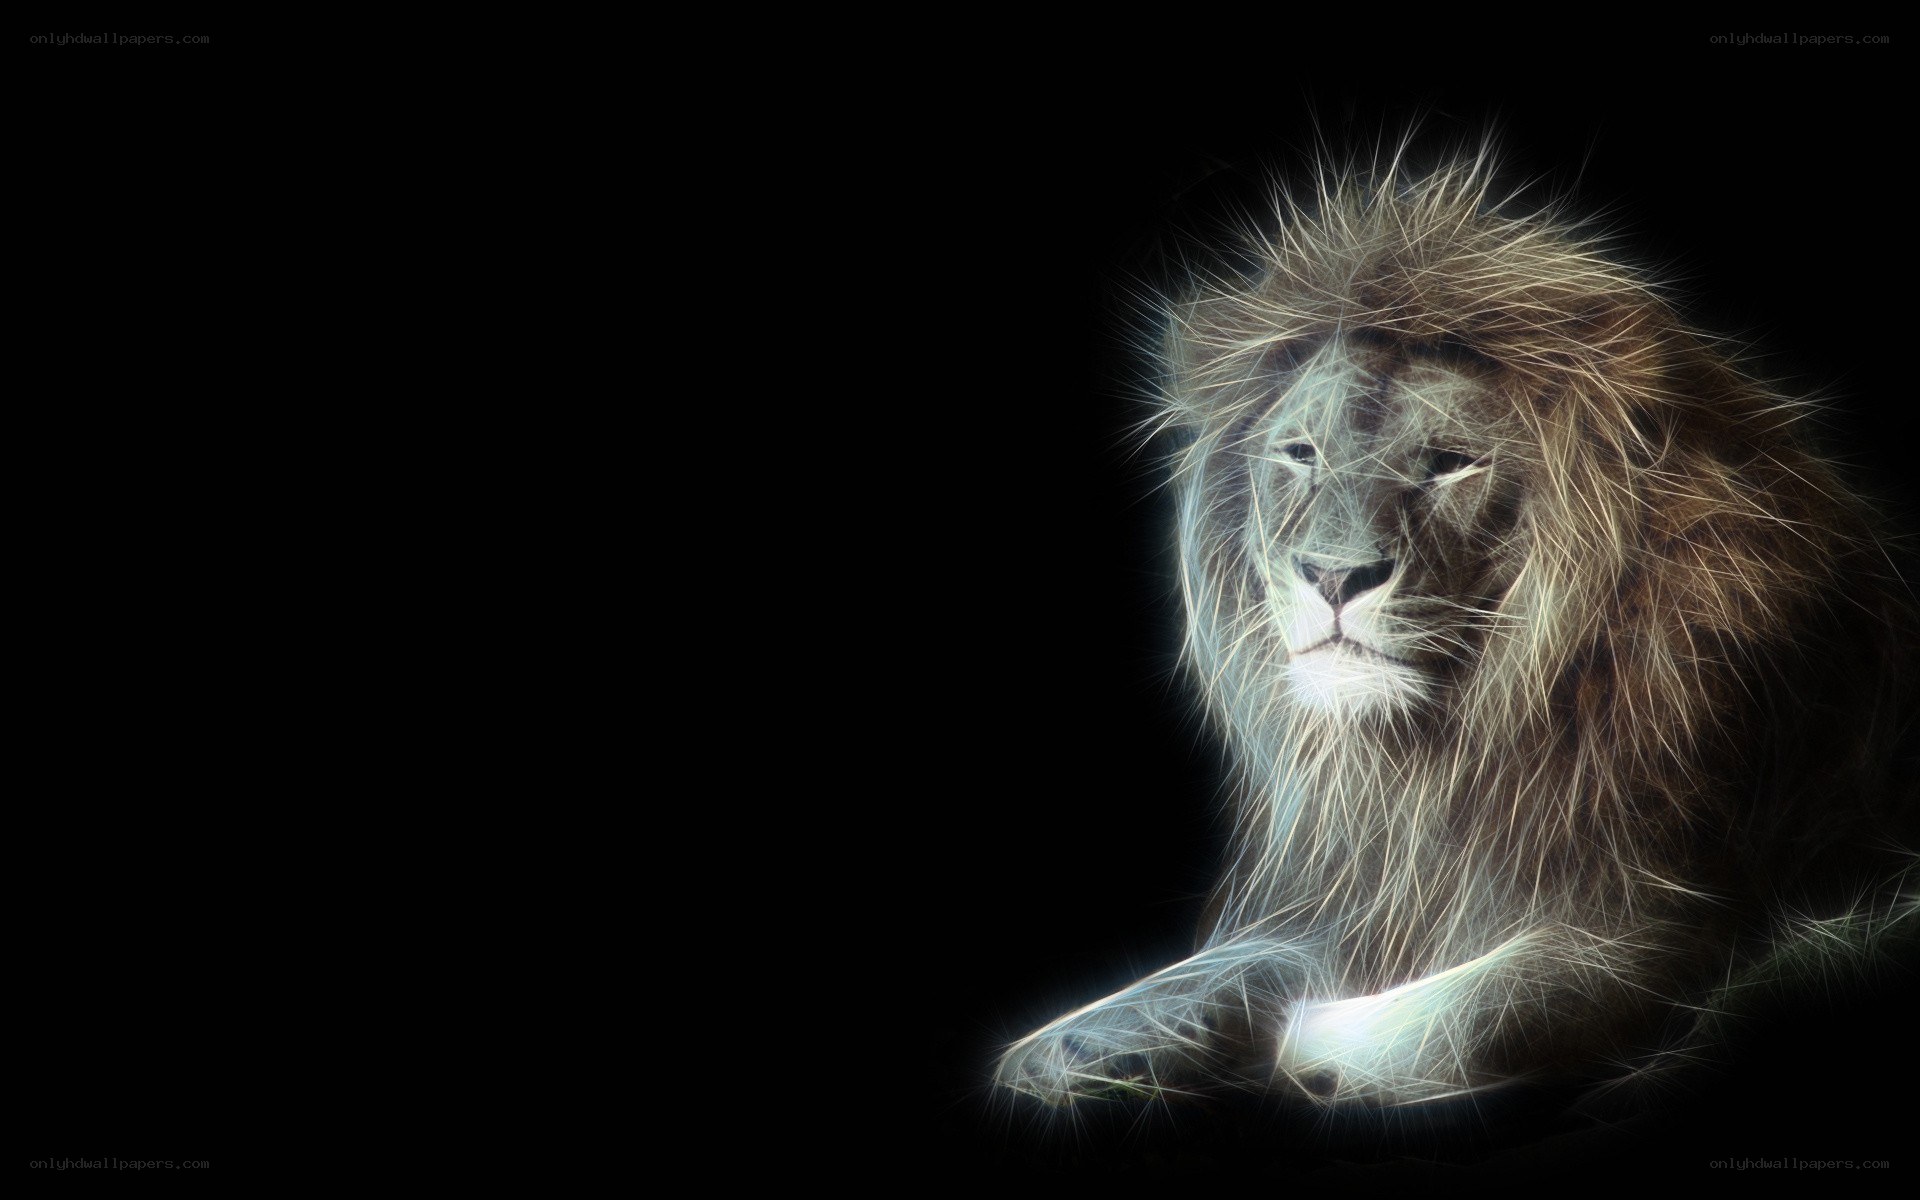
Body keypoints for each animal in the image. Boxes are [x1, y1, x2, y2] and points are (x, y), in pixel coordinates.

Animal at [993, 154, 1918, 1111]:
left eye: (1449, 464)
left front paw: (1321, 1039)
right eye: (1301, 453)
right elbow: (1232, 963)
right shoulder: (1379, 887)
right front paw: (1063, 1045)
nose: (1334, 576)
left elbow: (1484, 1009)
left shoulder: (1690, 911)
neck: (1455, 739)